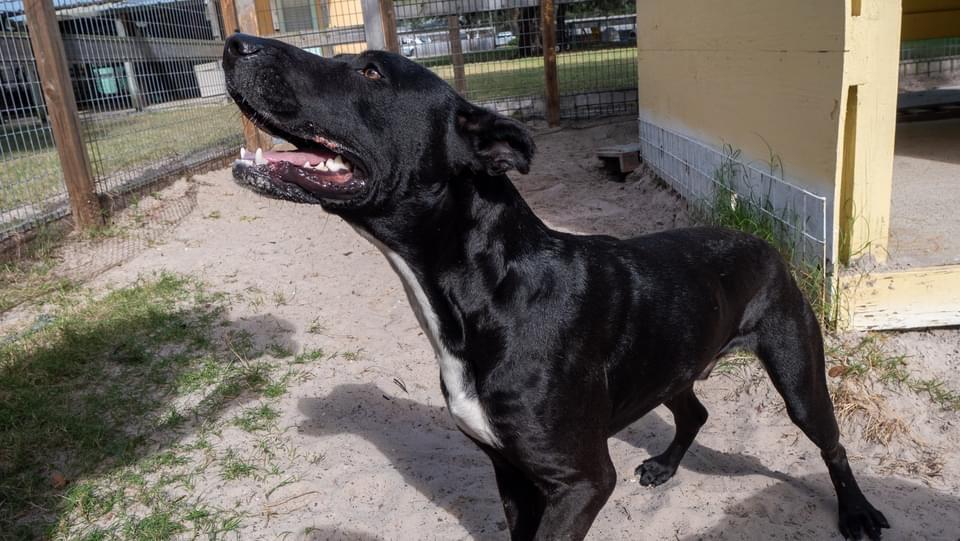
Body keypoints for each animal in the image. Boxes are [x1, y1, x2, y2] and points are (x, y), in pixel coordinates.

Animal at [221, 33, 888, 540]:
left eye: (369, 71)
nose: (235, 42)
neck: (489, 295)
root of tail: (766, 242)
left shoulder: (581, 482)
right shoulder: (512, 473)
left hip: (797, 374)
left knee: (831, 444)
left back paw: (857, 512)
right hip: (669, 366)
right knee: (695, 411)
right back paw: (666, 466)